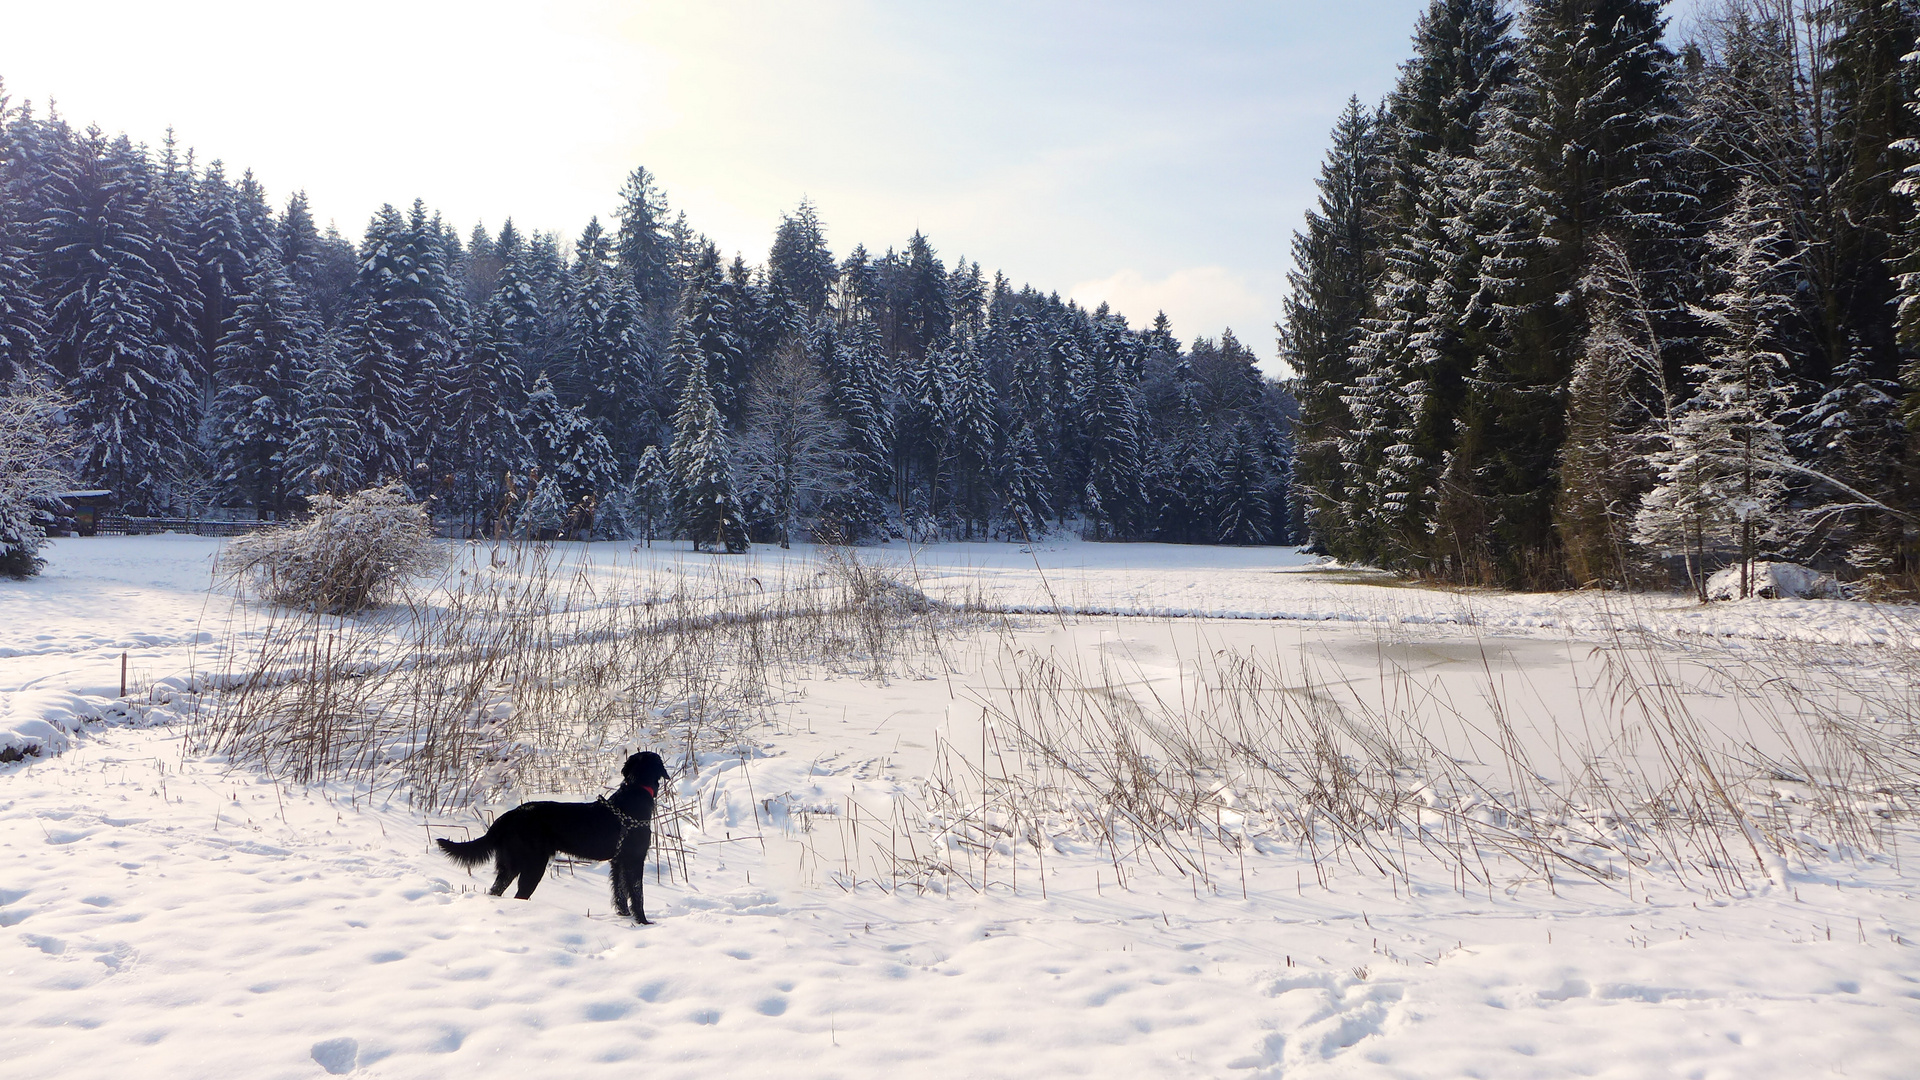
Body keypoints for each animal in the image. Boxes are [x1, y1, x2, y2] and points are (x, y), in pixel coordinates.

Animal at [439, 749, 672, 914]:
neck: (635, 791)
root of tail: (510, 815)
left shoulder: (618, 862)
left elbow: (621, 894)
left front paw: (624, 918)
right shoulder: (634, 859)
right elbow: (638, 895)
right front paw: (643, 923)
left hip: (510, 865)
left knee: (497, 890)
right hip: (532, 865)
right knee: (518, 894)